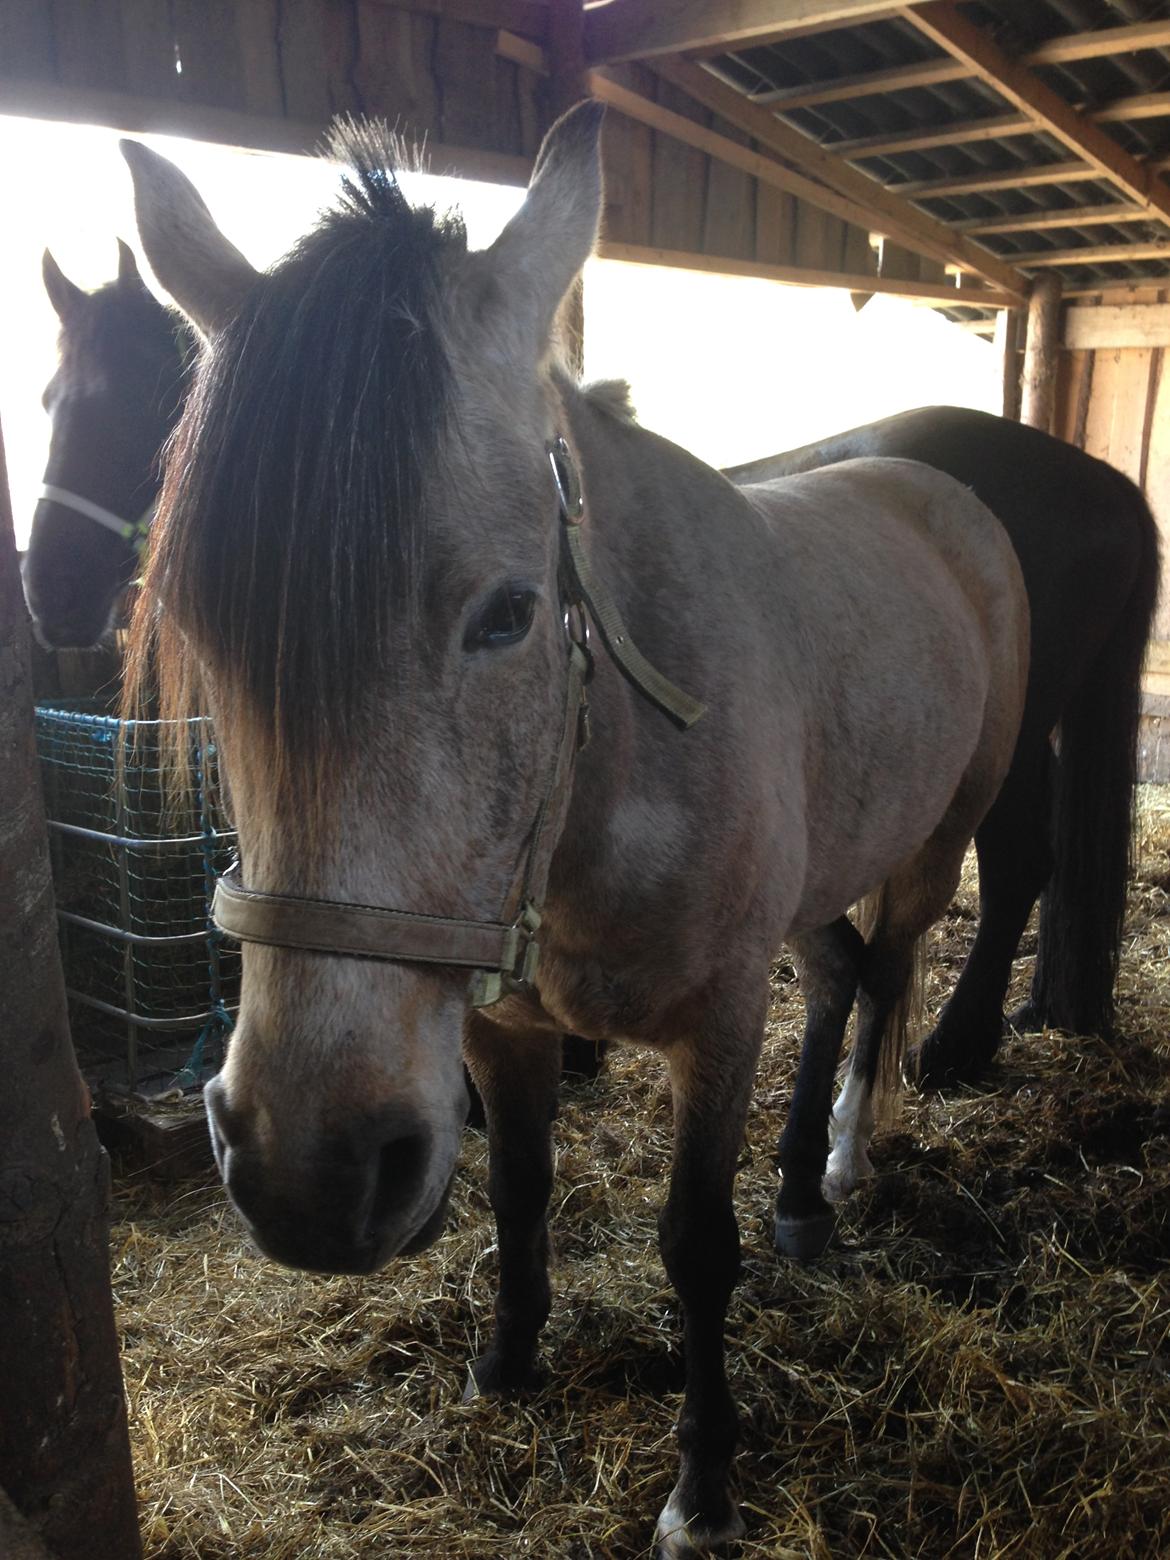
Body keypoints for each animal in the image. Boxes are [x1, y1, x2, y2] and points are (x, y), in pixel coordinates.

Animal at [123, 104, 1030, 1555]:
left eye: (506, 612)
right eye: (204, 630)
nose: (311, 1175)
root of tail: (942, 495)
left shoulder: (718, 1019)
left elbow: (693, 1245)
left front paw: (703, 1486)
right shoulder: (501, 1022)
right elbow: (518, 1186)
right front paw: (507, 1357)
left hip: (935, 841)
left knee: (885, 982)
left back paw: (835, 1166)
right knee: (838, 975)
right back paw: (794, 1192)